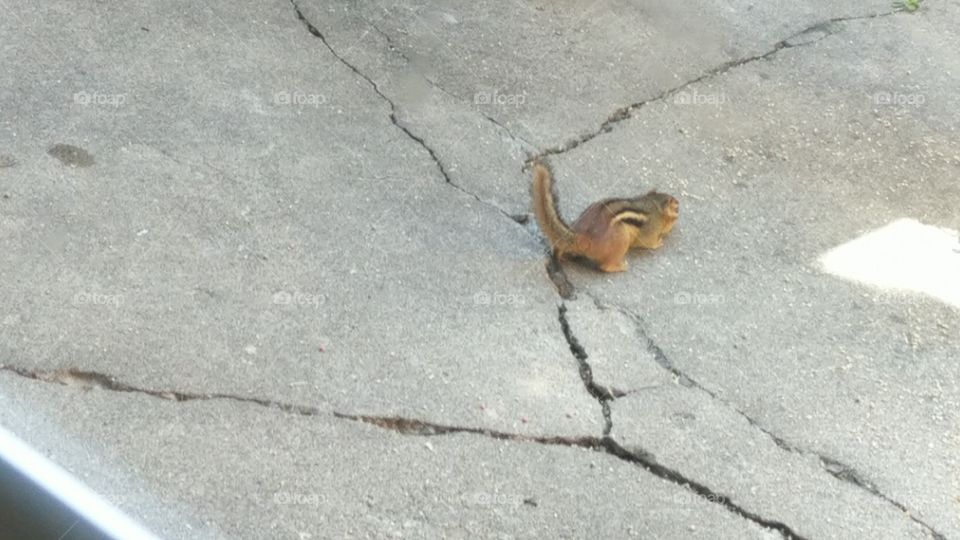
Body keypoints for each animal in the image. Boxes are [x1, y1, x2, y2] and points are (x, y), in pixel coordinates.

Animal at [531, 161, 679, 272]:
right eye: (677, 209)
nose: (679, 205)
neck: (654, 205)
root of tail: (582, 236)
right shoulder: (651, 228)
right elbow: (648, 242)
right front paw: (658, 242)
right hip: (621, 240)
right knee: (605, 266)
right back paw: (620, 266)